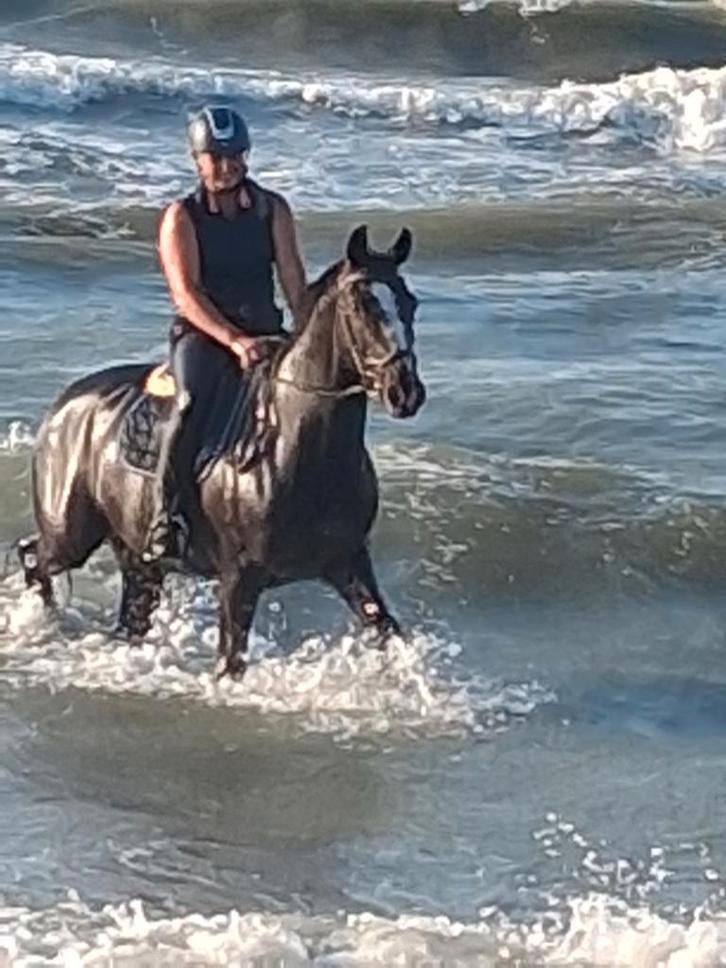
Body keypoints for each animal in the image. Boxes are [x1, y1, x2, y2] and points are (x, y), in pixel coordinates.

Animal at [19, 225, 426, 678]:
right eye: (362, 304)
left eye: (410, 302)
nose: (405, 392)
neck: (299, 448)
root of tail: (63, 406)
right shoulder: (239, 578)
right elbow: (231, 661)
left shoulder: (349, 563)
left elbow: (387, 628)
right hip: (70, 535)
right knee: (33, 558)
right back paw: (45, 623)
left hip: (138, 556)